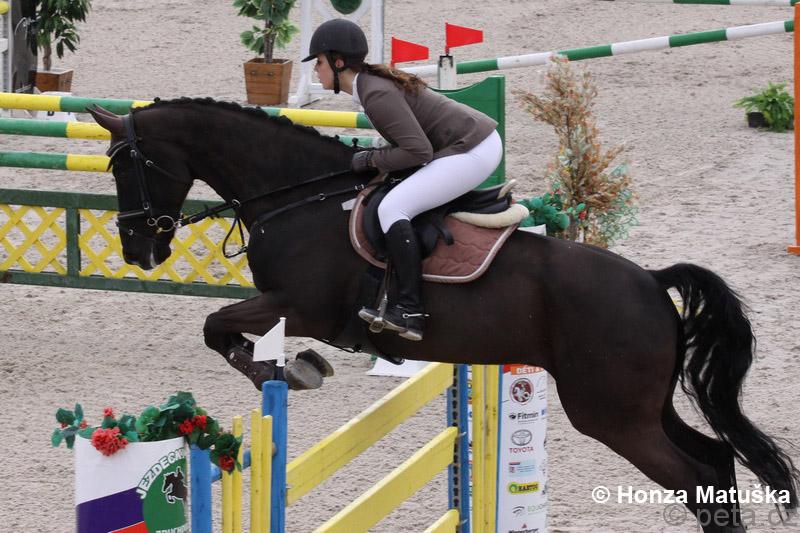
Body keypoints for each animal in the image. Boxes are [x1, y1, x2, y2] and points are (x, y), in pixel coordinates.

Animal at [87, 98, 798, 532]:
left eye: (126, 167)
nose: (139, 250)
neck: (297, 197)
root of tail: (652, 283)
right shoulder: (288, 307)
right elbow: (221, 329)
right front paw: (292, 370)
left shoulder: (300, 306)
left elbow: (217, 327)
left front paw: (291, 372)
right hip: (641, 407)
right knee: (714, 462)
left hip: (611, 414)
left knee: (697, 475)